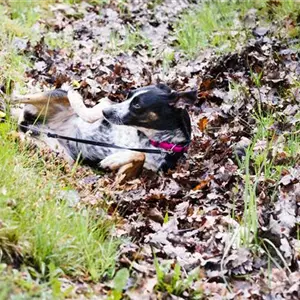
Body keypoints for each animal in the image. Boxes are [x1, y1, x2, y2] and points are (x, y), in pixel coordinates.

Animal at [12, 83, 197, 179]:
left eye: (137, 105)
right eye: (128, 95)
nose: (106, 114)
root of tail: (28, 124)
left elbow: (140, 156)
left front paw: (114, 161)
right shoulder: (105, 105)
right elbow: (95, 108)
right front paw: (79, 100)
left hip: (58, 154)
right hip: (55, 95)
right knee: (16, 98)